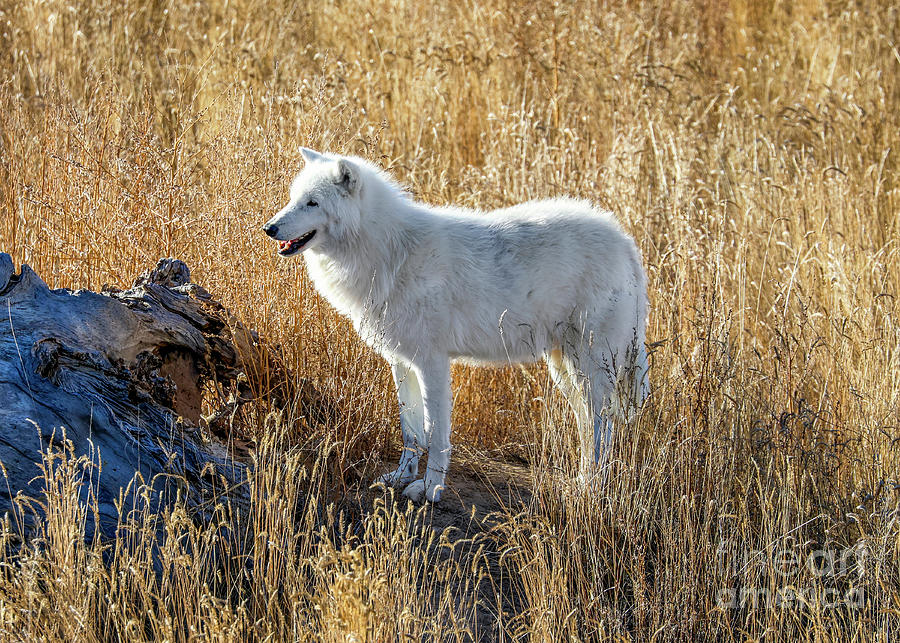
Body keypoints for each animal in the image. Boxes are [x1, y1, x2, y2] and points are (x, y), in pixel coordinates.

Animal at [263, 148, 649, 503]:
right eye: (294, 199)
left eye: (313, 203)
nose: (269, 228)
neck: (388, 253)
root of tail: (625, 240)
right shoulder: (401, 362)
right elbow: (411, 432)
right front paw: (401, 477)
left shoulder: (432, 364)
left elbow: (436, 435)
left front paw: (430, 488)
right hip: (567, 372)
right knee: (589, 425)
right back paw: (583, 480)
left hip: (592, 369)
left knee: (603, 428)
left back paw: (595, 490)